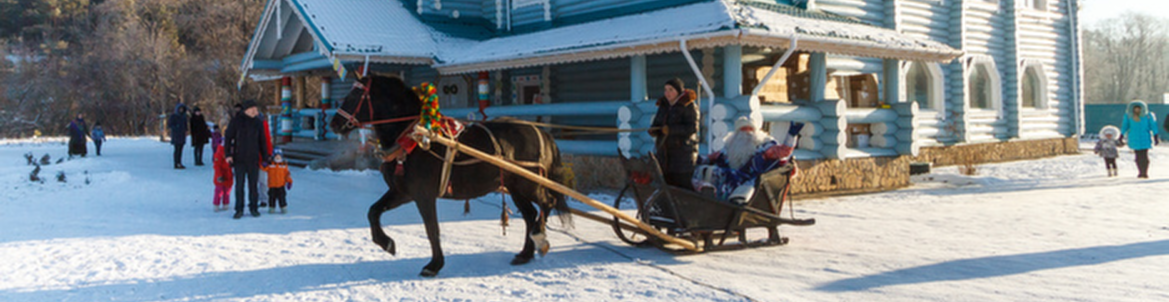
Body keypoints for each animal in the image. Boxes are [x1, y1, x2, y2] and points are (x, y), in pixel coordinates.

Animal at [329, 74, 570, 277]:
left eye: (355, 95)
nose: (334, 124)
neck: (414, 138)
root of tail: (539, 131)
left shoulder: (424, 195)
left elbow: (431, 229)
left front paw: (434, 265)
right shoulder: (402, 192)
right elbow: (373, 211)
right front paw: (386, 243)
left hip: (528, 183)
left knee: (547, 202)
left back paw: (540, 238)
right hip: (515, 187)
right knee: (530, 214)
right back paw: (525, 253)